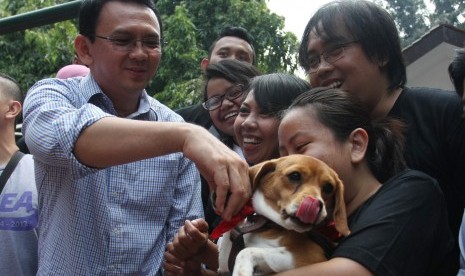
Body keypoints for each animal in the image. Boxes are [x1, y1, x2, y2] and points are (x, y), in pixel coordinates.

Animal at [217, 154, 348, 274]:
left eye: (329, 188)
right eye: (295, 175)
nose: (316, 204)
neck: (266, 224)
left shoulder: (310, 256)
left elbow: (246, 251)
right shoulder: (224, 265)